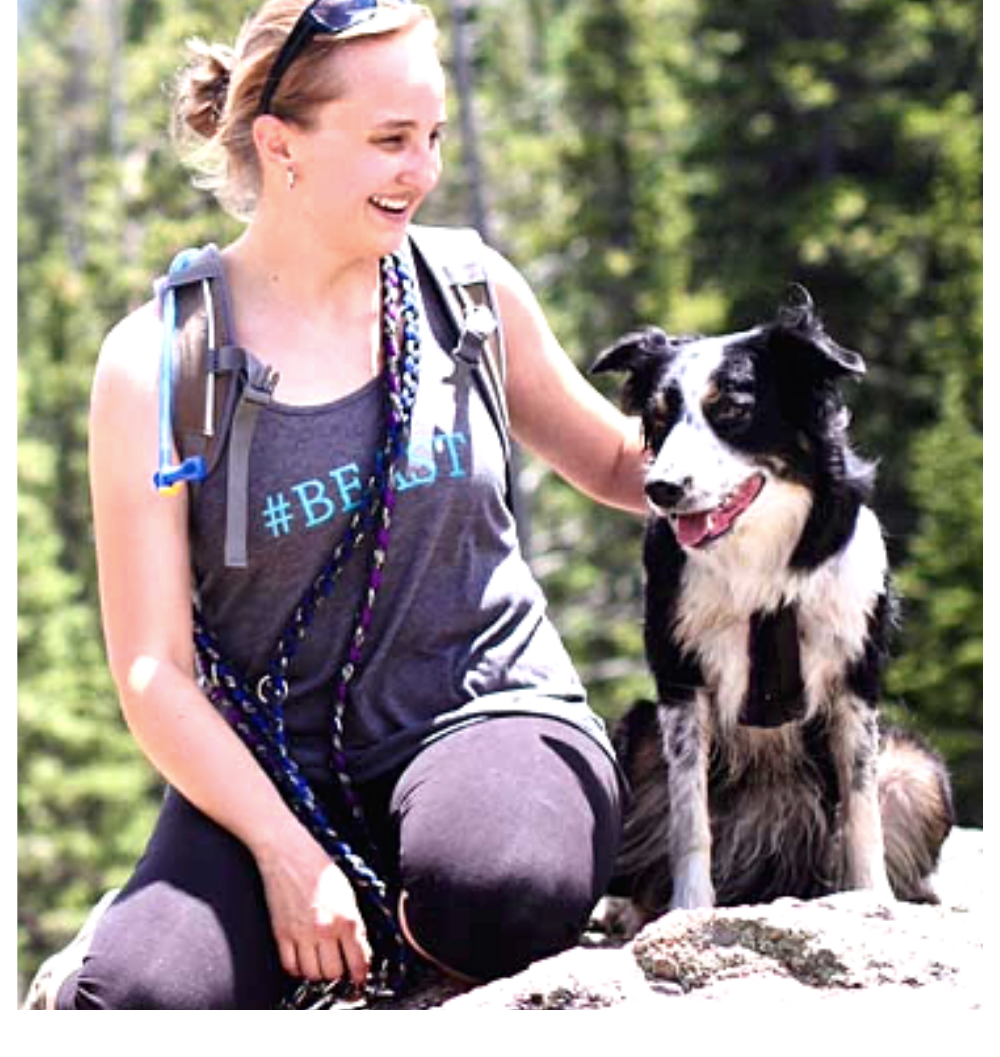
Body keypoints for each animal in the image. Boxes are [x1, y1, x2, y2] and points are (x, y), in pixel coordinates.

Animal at [591, 287, 951, 925]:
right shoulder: (679, 679)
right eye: (658, 419)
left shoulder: (856, 675)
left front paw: (871, 898)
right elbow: (690, 816)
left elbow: (860, 805)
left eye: (731, 411)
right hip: (634, 739)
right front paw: (690, 909)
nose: (661, 489)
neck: (759, 550)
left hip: (917, 767)